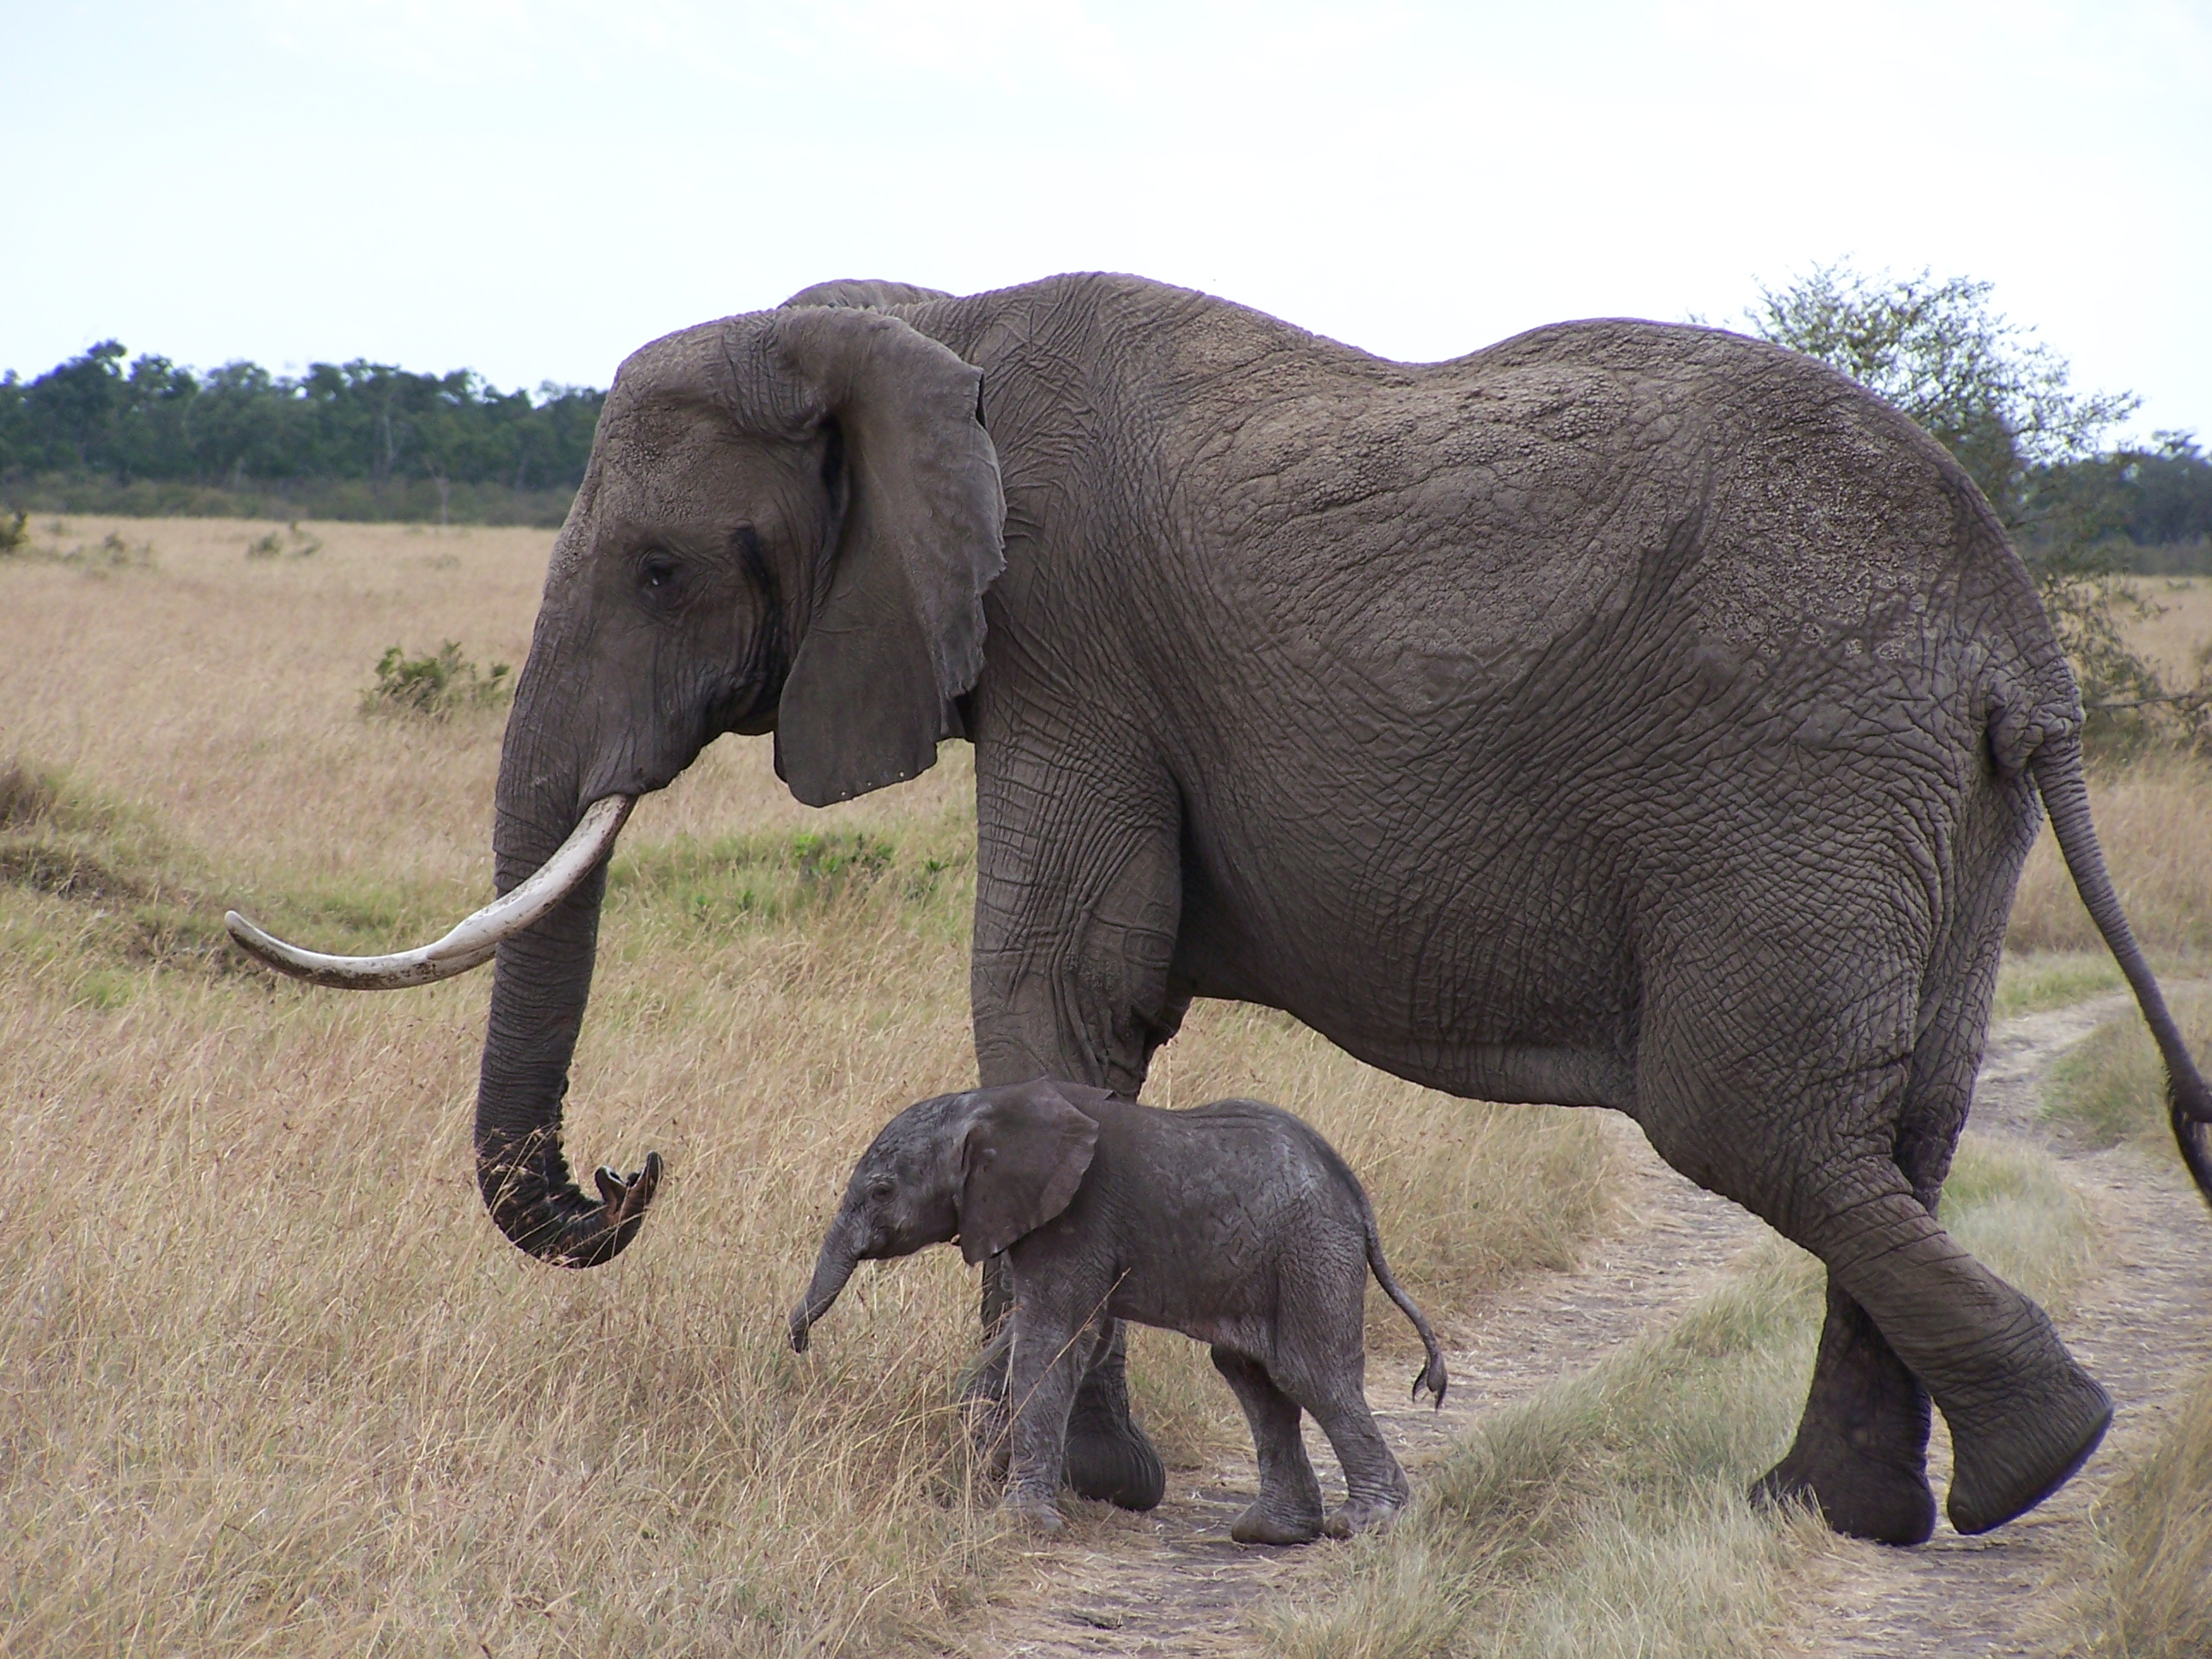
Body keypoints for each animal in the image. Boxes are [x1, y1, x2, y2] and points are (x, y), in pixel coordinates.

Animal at [787, 1079, 1442, 1548]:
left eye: (881, 1192)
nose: (798, 1343)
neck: (986, 1104)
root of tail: (1358, 1199)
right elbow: (1060, 1337)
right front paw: (985, 1462)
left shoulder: (1075, 1218)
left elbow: (1050, 1341)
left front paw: (1021, 1524)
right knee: (1251, 1373)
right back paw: (1273, 1532)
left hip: (1311, 1252)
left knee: (1309, 1373)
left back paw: (1367, 1524)